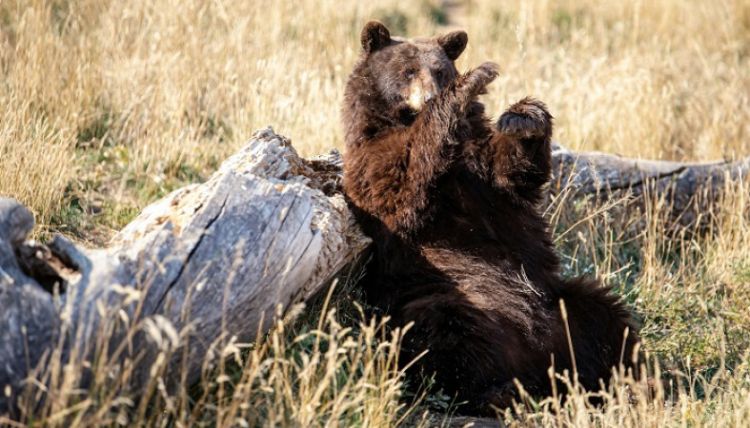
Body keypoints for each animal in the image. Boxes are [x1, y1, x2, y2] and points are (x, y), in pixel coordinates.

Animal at [340, 20, 640, 414]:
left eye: (439, 70)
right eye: (407, 70)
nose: (429, 95)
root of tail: (536, 357)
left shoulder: (477, 167)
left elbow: (509, 173)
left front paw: (525, 117)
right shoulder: (374, 163)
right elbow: (403, 187)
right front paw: (473, 79)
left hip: (560, 302)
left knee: (605, 320)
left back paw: (626, 379)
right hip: (449, 296)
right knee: (447, 333)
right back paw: (496, 392)